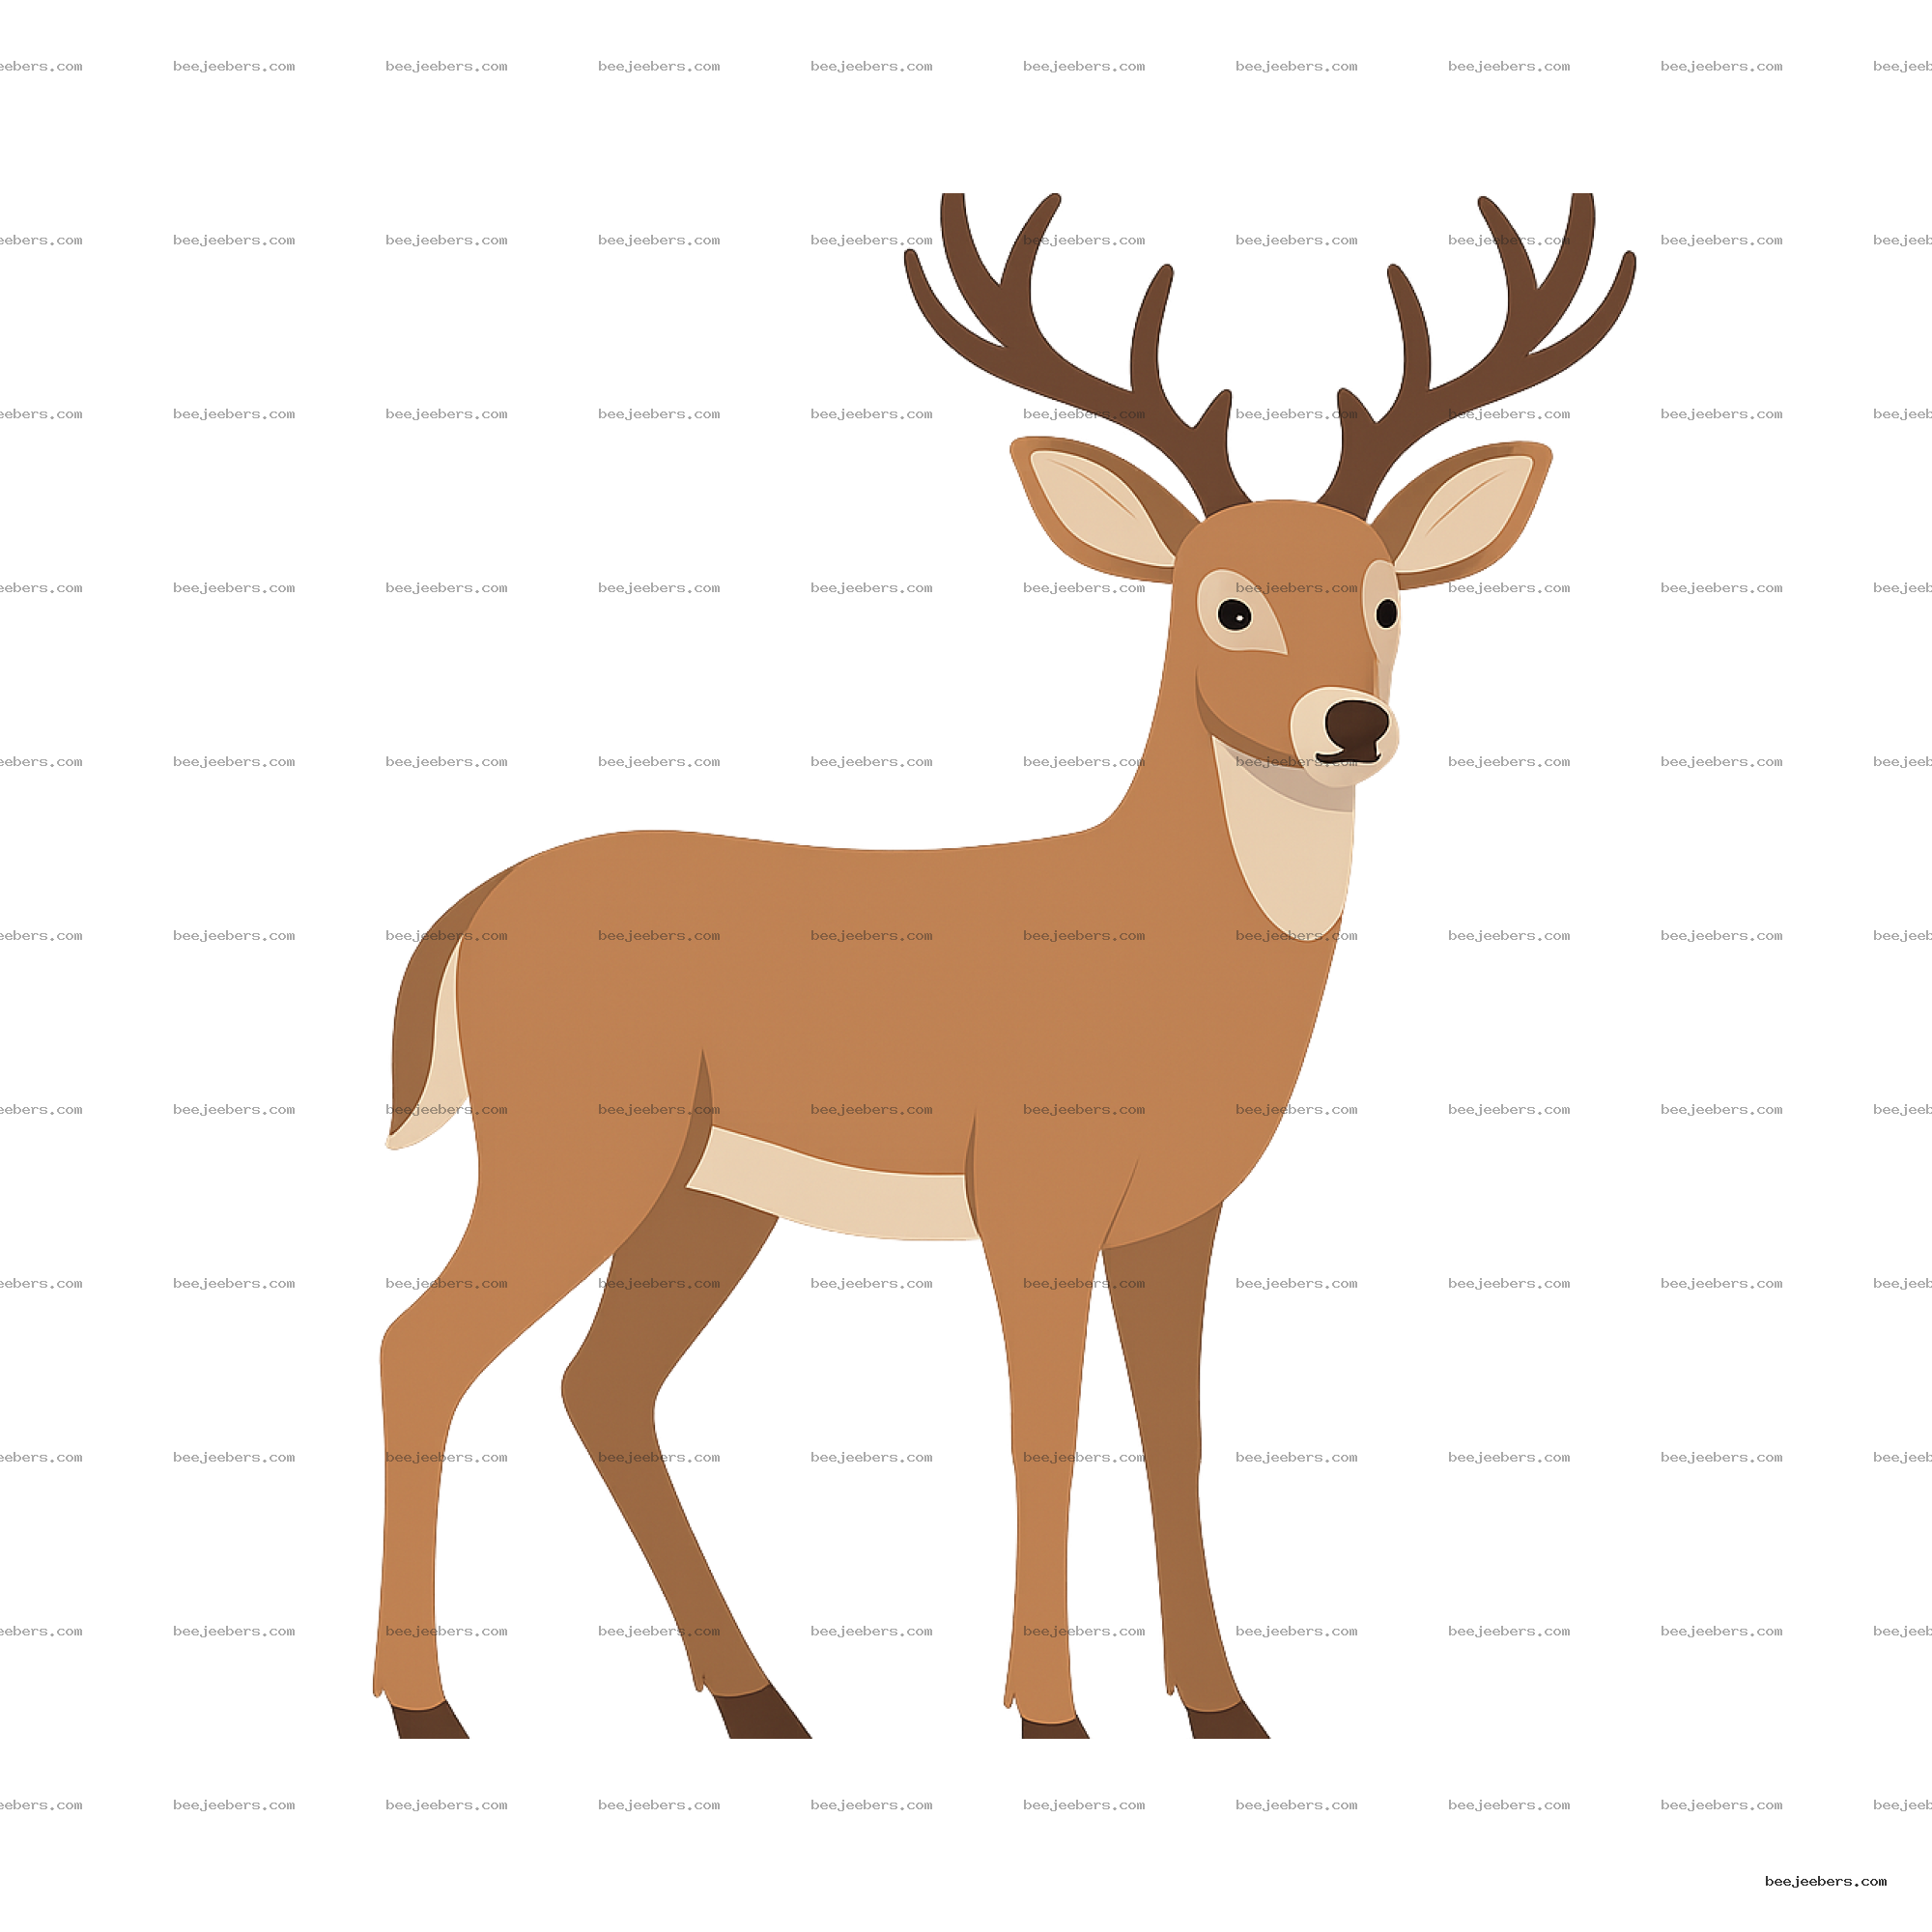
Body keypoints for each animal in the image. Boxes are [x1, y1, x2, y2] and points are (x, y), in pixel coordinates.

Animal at [374, 191, 1634, 1738]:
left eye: (1391, 600)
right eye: (1225, 604)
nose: (1351, 723)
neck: (1166, 954)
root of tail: (474, 910)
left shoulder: (1176, 1219)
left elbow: (1176, 1431)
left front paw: (1219, 1704)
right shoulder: (1033, 1188)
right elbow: (1044, 1432)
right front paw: (1047, 1708)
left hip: (701, 1190)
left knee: (602, 1386)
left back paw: (756, 1697)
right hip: (571, 1145)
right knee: (424, 1348)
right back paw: (422, 1699)